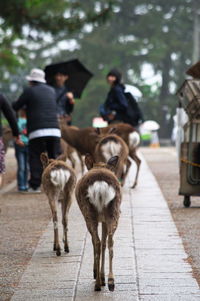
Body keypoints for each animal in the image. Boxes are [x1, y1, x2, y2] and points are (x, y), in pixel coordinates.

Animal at [75, 154, 121, 290]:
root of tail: (100, 185)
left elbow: (95, 241)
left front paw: (97, 274)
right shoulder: (104, 221)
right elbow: (105, 243)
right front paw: (103, 277)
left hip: (89, 213)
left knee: (97, 242)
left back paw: (97, 284)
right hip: (113, 211)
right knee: (110, 241)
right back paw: (111, 281)